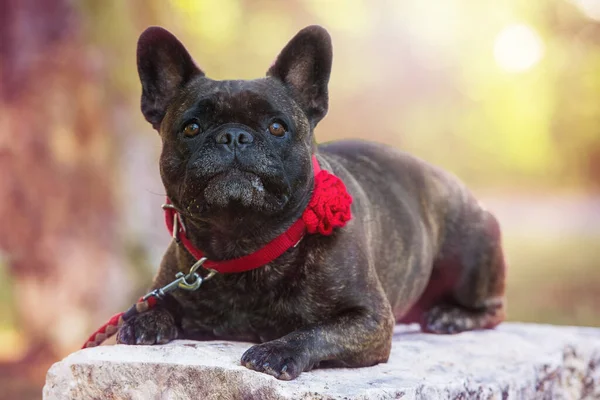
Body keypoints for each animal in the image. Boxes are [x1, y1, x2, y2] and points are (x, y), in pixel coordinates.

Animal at [117, 25, 506, 382]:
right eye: (192, 128)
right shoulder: (169, 286)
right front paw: (145, 319)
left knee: (493, 310)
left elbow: (315, 330)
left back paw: (450, 315)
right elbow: (157, 305)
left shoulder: (370, 319)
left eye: (277, 127)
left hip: (470, 257)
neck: (243, 242)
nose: (234, 136)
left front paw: (277, 350)